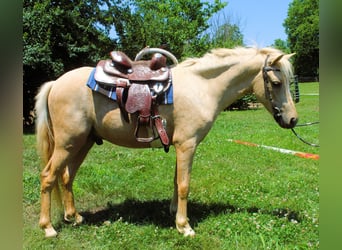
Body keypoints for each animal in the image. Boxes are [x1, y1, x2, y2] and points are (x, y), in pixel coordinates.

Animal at [34, 46, 296, 237]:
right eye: (276, 83)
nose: (293, 119)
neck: (202, 87)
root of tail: (55, 83)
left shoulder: (182, 145)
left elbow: (176, 181)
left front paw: (174, 213)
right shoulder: (187, 145)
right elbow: (184, 185)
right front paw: (184, 226)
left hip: (82, 143)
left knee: (66, 177)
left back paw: (74, 216)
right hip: (67, 143)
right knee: (48, 177)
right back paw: (48, 228)